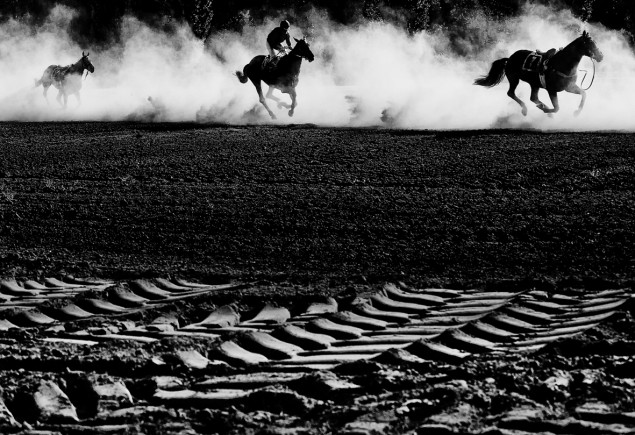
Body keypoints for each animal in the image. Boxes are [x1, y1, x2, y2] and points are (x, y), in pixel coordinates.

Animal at [474, 30, 604, 116]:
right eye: (590, 43)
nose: (601, 56)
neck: (561, 64)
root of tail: (509, 58)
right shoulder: (551, 90)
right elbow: (557, 108)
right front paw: (548, 110)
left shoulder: (569, 87)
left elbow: (583, 94)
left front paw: (577, 112)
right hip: (514, 79)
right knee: (511, 93)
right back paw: (526, 110)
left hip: (534, 84)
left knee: (533, 98)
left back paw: (541, 106)